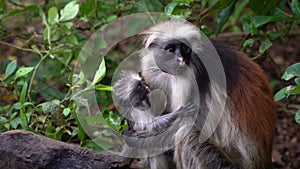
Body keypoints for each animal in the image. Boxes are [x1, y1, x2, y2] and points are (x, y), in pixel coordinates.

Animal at [113, 20, 276, 169]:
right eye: (170, 49)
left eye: (185, 49)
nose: (179, 60)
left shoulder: (188, 76)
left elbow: (183, 122)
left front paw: (132, 139)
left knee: (186, 133)